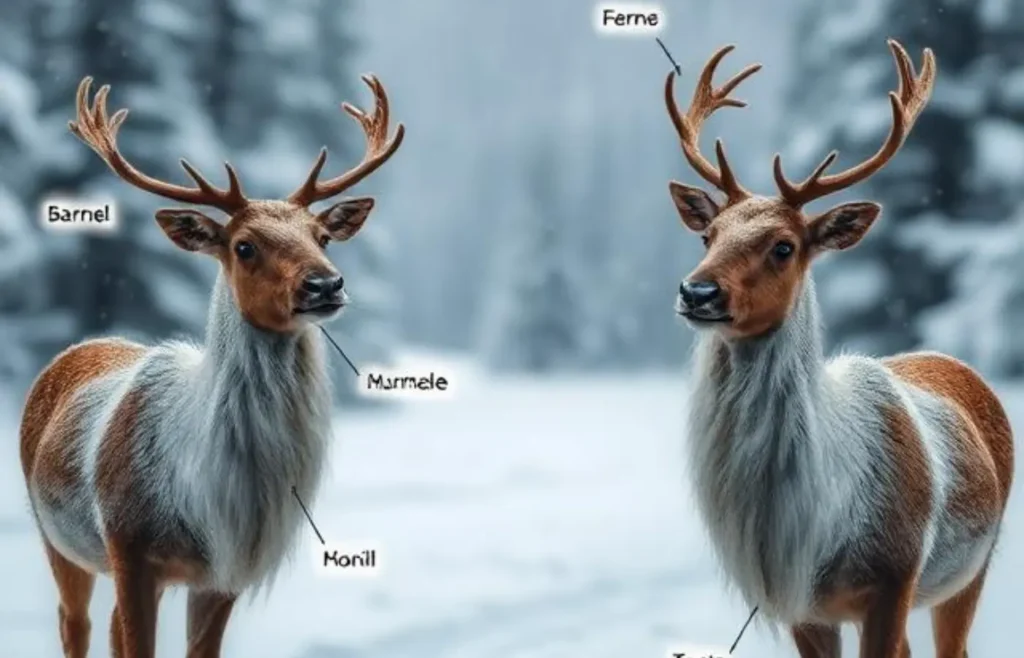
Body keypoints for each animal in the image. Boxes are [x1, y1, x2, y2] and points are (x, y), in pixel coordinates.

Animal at [19, 73, 404, 658]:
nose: (325, 284)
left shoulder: (226, 570)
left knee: (107, 626)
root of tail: (84, 345)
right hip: (57, 534)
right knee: (75, 624)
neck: (203, 491)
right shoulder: (129, 545)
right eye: (244, 246)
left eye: (322, 237)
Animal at [666, 41, 1013, 658]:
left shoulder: (895, 575)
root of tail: (947, 358)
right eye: (708, 236)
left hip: (972, 567)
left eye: (784, 246)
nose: (697, 291)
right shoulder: (802, 605)